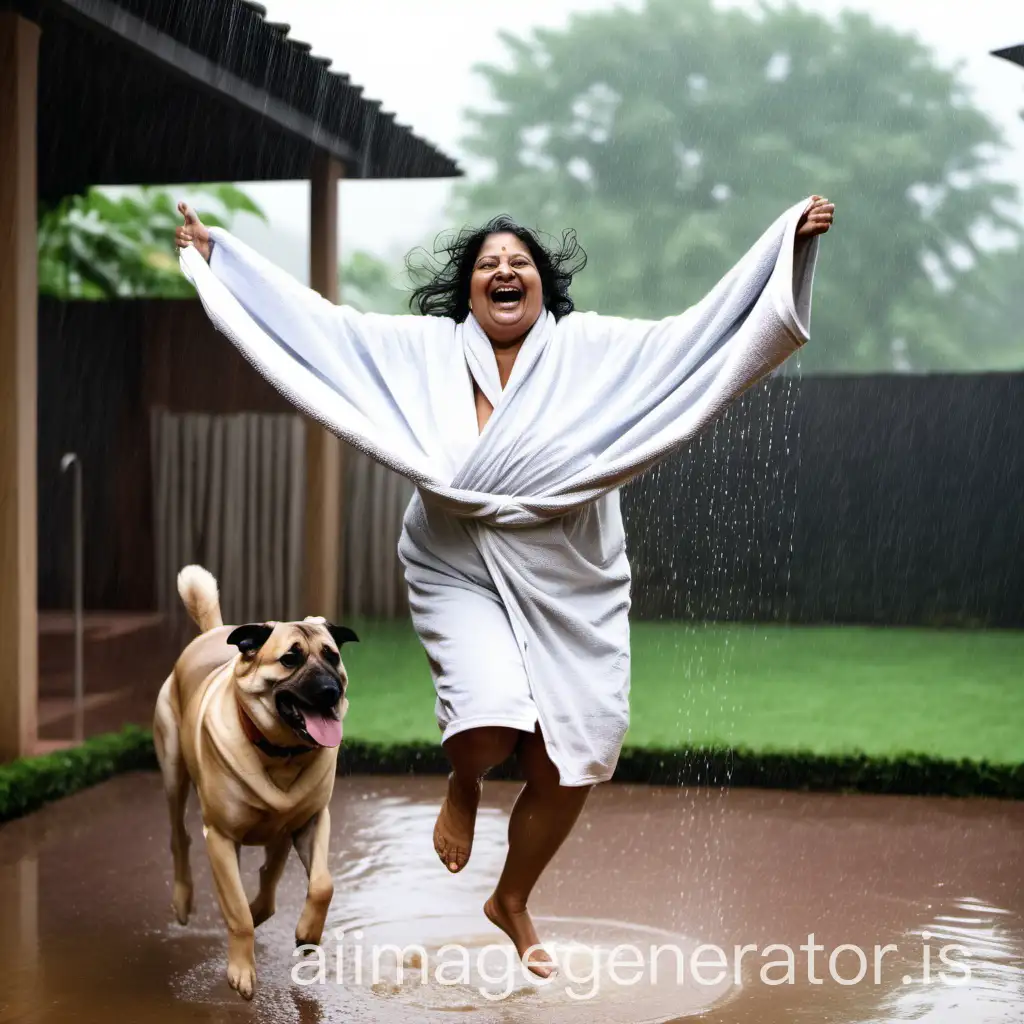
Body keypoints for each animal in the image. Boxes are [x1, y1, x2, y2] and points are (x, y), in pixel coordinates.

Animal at [151, 565, 358, 995]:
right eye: (290, 659)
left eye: (332, 656)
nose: (330, 691)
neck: (280, 751)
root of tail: (211, 634)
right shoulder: (221, 838)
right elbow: (238, 915)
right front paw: (241, 971)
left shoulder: (313, 821)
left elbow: (322, 884)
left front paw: (307, 934)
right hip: (174, 772)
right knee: (180, 837)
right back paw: (184, 901)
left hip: (281, 827)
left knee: (270, 874)